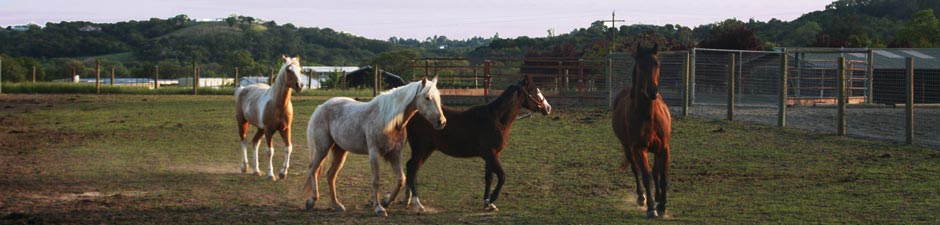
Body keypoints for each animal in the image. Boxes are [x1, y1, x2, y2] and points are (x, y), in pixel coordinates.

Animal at [302, 77, 446, 216]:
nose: (442, 122)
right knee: (313, 169)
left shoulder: (396, 154)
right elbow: (376, 181)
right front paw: (378, 208)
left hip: (340, 151)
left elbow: (401, 179)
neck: (389, 121)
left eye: (438, 97)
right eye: (427, 98)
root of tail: (321, 107)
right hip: (323, 148)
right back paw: (311, 201)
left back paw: (336, 205)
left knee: (330, 175)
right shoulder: (374, 154)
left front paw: (386, 202)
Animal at [404, 75, 552, 213]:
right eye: (533, 90)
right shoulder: (490, 154)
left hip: (427, 149)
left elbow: (489, 178)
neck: (496, 119)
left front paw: (488, 203)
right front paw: (492, 199)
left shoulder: (491, 156)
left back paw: (408, 199)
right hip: (421, 148)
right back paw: (417, 203)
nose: (548, 108)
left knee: (413, 169)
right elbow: (502, 176)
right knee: (412, 168)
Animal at [612, 42, 672, 218]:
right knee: (635, 169)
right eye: (640, 66)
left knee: (656, 171)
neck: (648, 116)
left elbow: (662, 176)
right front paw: (651, 208)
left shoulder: (664, 148)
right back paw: (641, 198)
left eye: (657, 64)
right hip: (627, 147)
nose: (652, 91)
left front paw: (662, 205)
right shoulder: (639, 149)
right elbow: (645, 176)